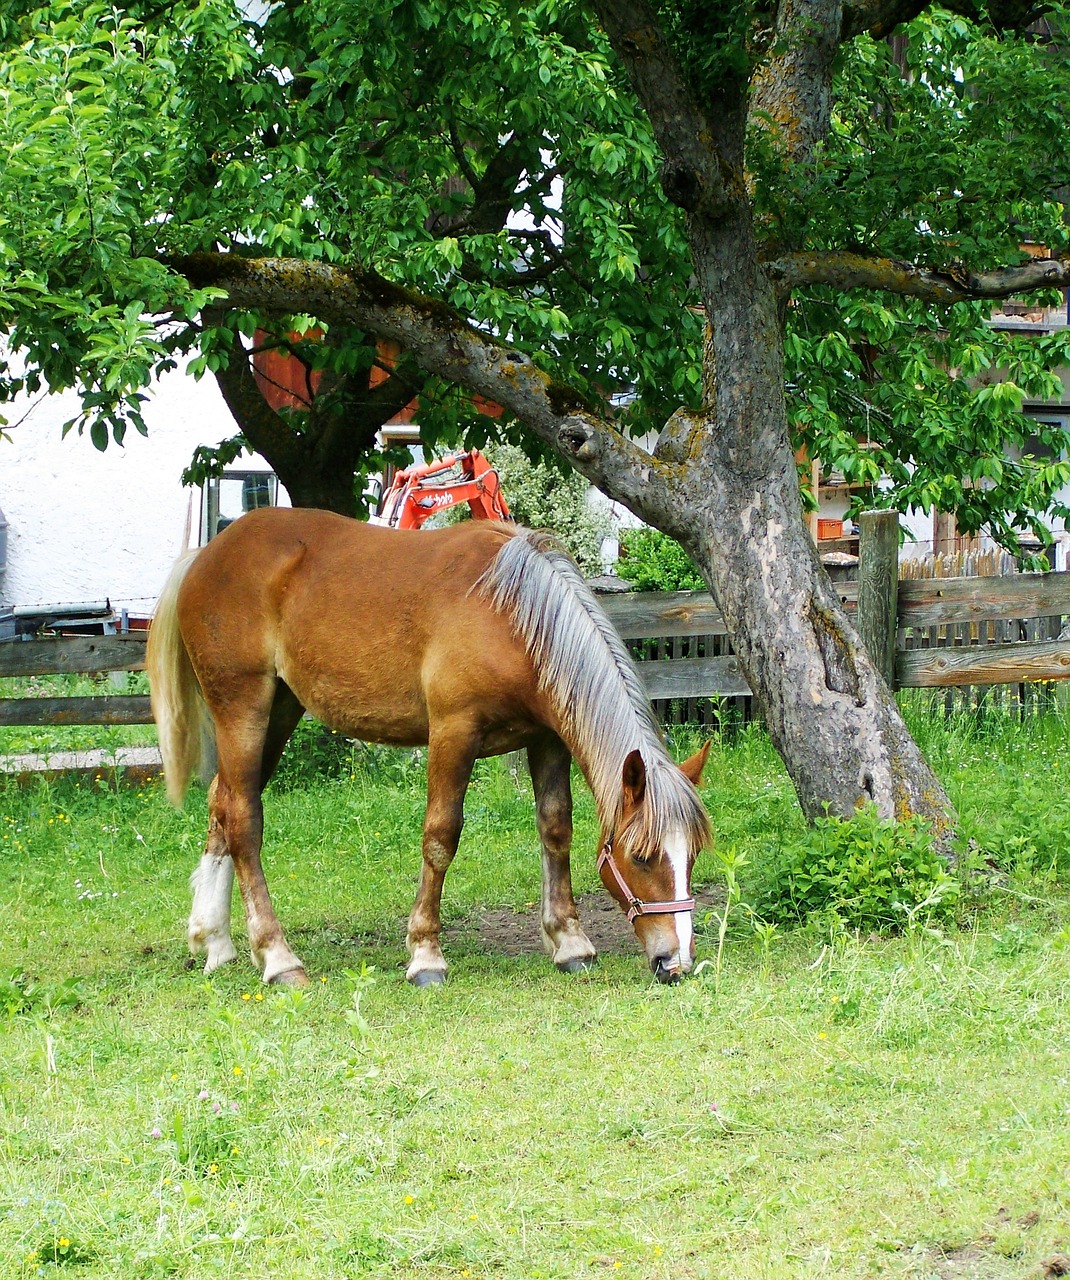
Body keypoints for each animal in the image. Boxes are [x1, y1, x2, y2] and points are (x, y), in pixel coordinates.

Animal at [143, 504, 711, 983]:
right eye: (641, 857)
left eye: (692, 855)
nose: (676, 963)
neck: (512, 614)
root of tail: (206, 555)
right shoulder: (453, 734)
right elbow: (441, 837)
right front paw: (425, 954)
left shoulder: (548, 738)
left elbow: (555, 828)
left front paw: (570, 943)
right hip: (242, 710)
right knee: (244, 820)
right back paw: (278, 957)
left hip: (278, 712)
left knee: (223, 804)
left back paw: (215, 943)